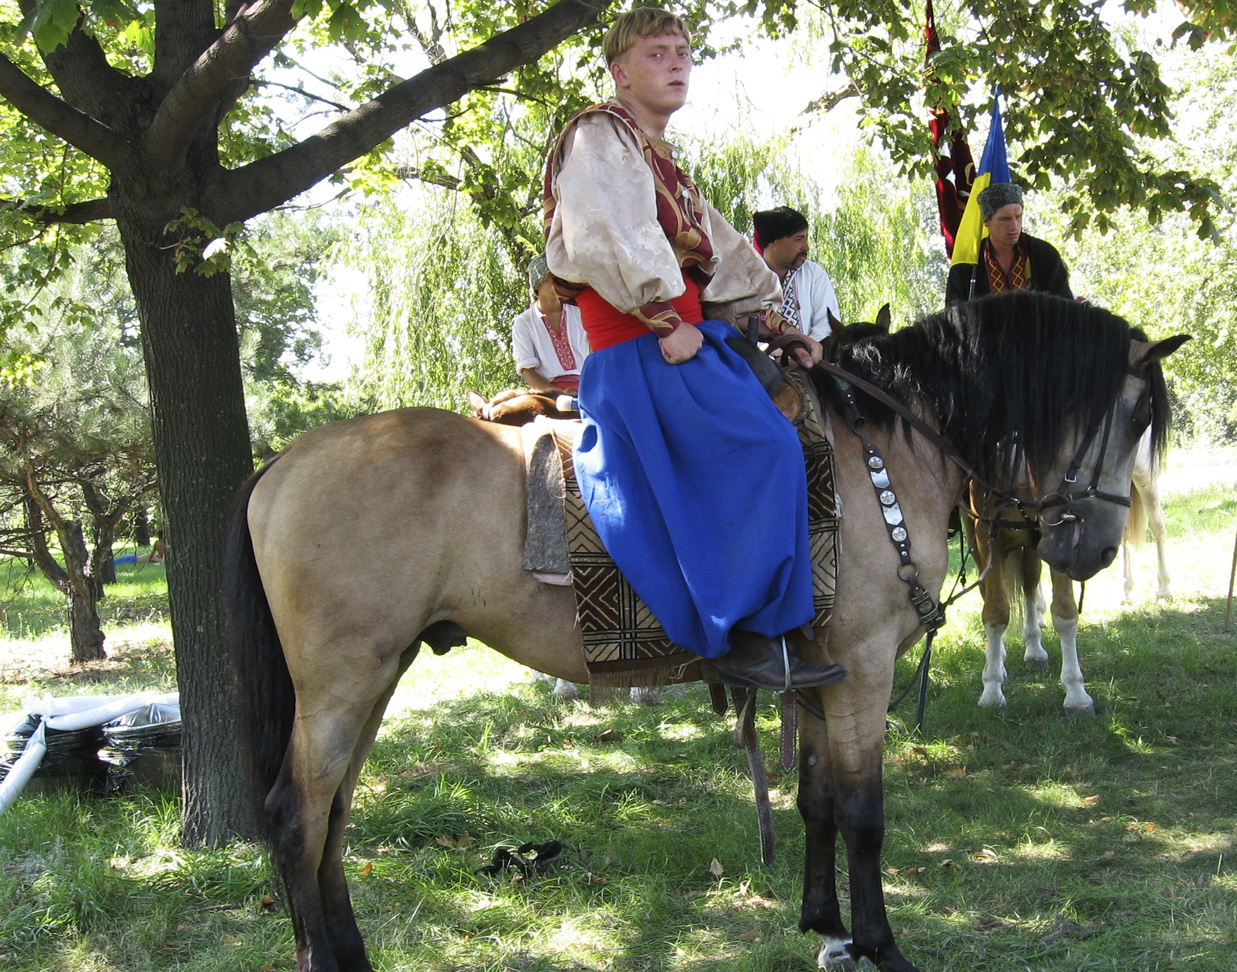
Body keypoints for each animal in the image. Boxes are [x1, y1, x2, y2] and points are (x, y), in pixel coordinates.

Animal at [225, 291, 1187, 969]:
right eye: (1134, 414)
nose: (1094, 548)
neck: (885, 439)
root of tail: (283, 461)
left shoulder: (818, 677)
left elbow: (816, 801)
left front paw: (825, 925)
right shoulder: (864, 670)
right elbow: (864, 813)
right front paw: (880, 945)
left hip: (376, 676)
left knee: (334, 818)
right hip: (342, 682)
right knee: (297, 817)